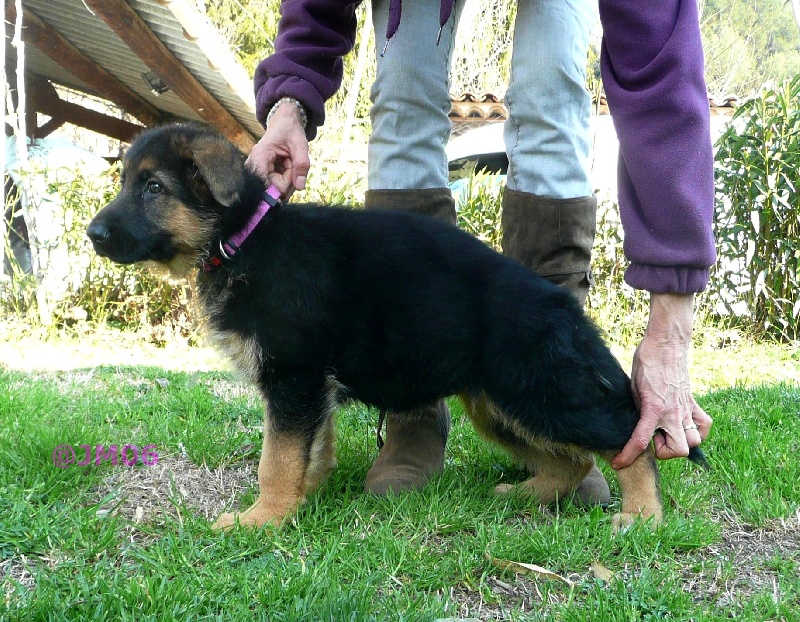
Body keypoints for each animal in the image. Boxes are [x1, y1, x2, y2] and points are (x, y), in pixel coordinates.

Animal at [84, 124, 704, 532]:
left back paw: (643, 515)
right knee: (571, 459)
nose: (92, 234)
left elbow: (275, 459)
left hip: (540, 390)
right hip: (498, 403)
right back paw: (525, 493)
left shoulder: (293, 377)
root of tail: (564, 304)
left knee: (627, 438)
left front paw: (264, 519)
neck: (244, 237)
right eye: (128, 182)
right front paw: (305, 497)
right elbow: (309, 448)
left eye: (154, 188)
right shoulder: (307, 389)